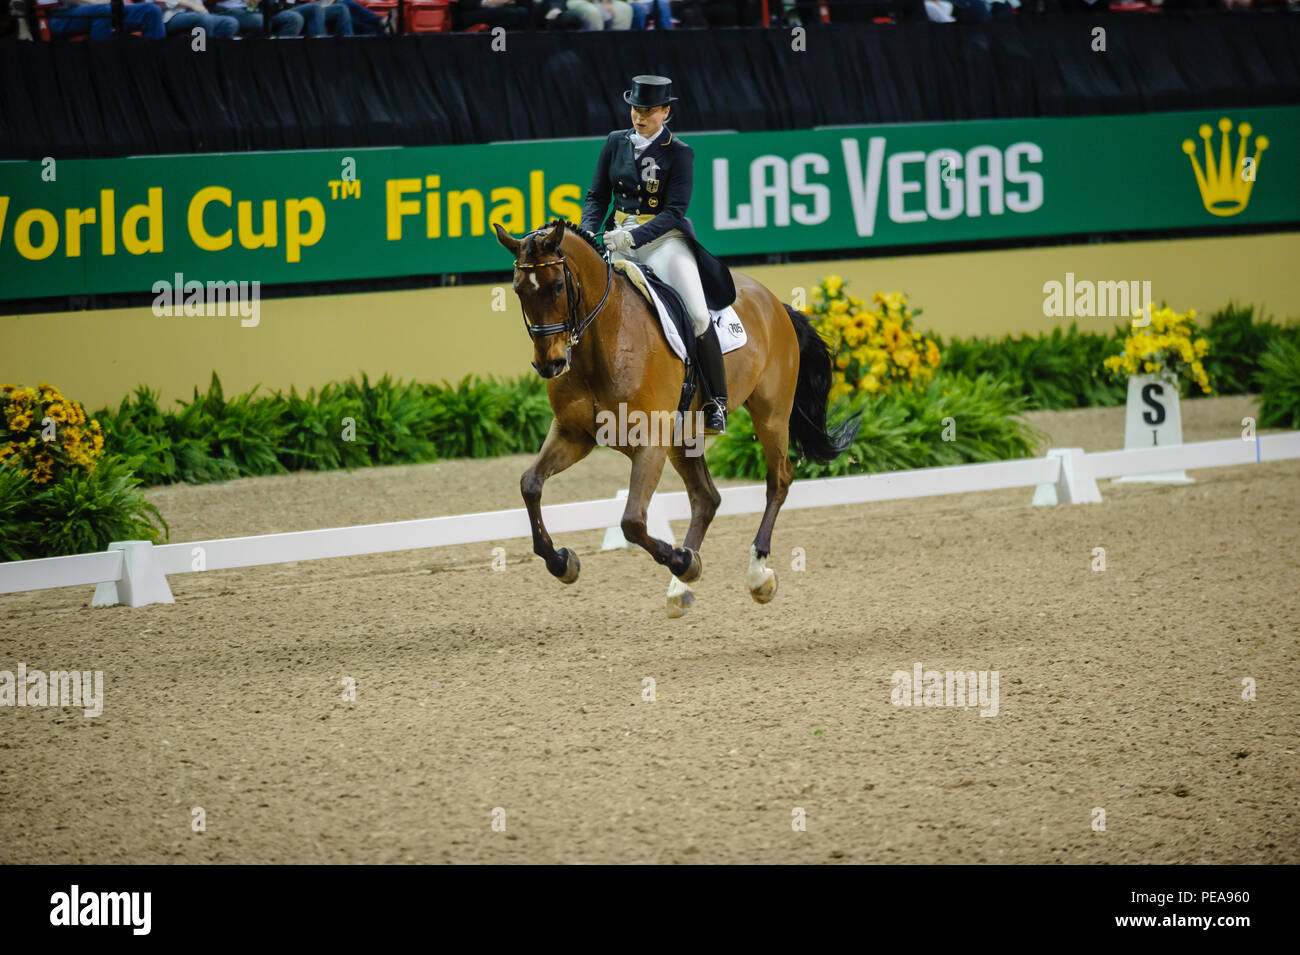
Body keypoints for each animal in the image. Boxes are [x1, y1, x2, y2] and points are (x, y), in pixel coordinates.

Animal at [491, 218, 857, 621]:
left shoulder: (650, 443)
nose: (550, 364)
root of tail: (774, 302)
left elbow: (632, 522)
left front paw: (684, 561)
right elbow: (530, 484)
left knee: (778, 480)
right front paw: (562, 562)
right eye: (518, 289)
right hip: (686, 439)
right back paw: (680, 586)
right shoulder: (574, 435)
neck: (601, 340)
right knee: (706, 498)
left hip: (771, 414)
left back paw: (756, 574)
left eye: (557, 285)